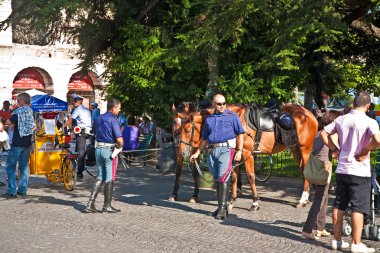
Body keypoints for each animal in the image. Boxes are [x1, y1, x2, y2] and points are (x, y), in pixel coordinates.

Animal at [172, 103, 318, 211]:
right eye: (176, 126)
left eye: (188, 130)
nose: (181, 153)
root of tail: (308, 113)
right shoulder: (236, 153)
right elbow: (234, 177)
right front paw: (231, 201)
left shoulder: (248, 153)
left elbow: (250, 176)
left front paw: (255, 203)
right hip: (295, 149)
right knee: (303, 171)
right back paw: (304, 199)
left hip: (305, 149)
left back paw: (302, 200)